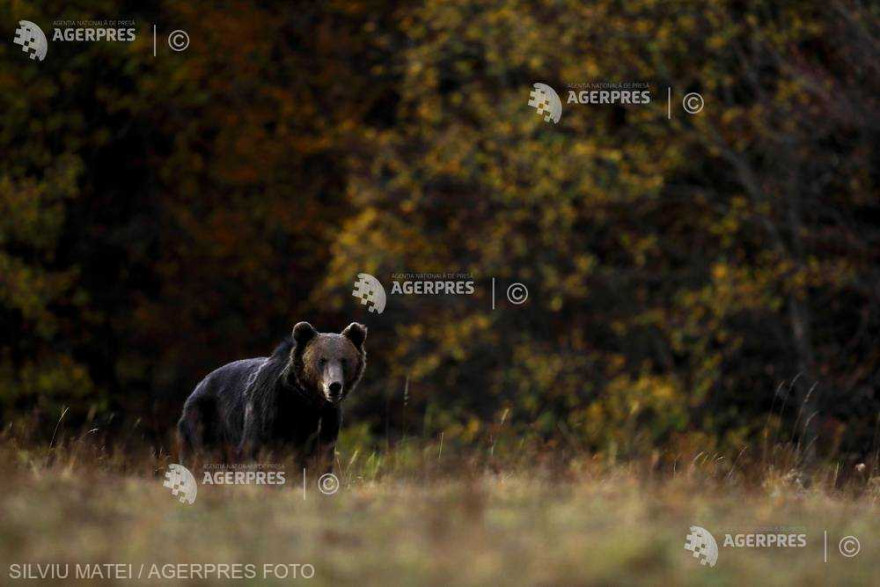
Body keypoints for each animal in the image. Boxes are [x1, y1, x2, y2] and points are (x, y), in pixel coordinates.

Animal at [180, 322, 366, 468]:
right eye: (322, 360)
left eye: (344, 360)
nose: (334, 386)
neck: (306, 401)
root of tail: (197, 387)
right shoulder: (270, 411)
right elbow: (254, 450)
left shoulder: (326, 420)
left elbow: (321, 457)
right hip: (204, 419)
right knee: (201, 455)